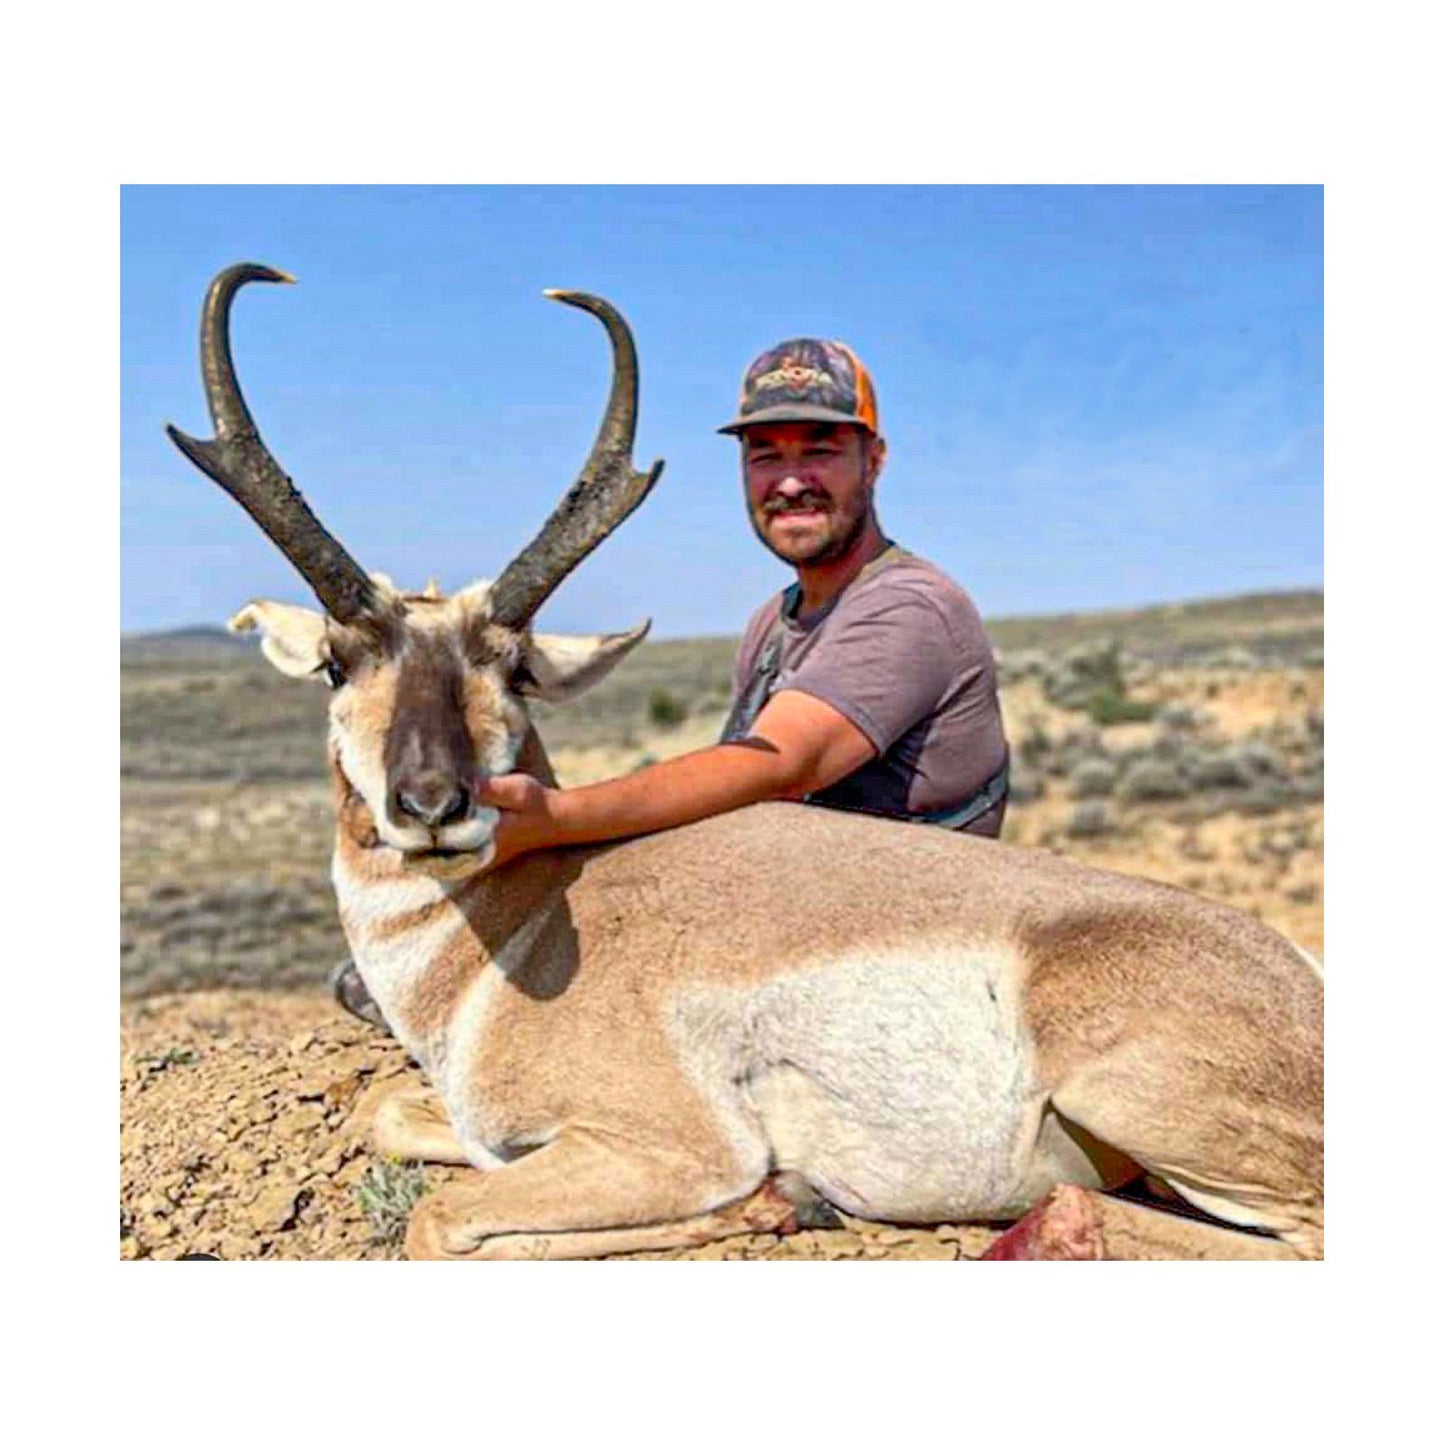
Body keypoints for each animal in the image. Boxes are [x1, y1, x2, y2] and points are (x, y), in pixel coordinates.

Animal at [166, 262, 1323, 1261]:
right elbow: (387, 1111)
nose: (433, 803)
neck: (522, 921)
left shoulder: (666, 1146)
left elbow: (440, 1219)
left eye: (515, 665)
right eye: (336, 661)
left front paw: (778, 1196)